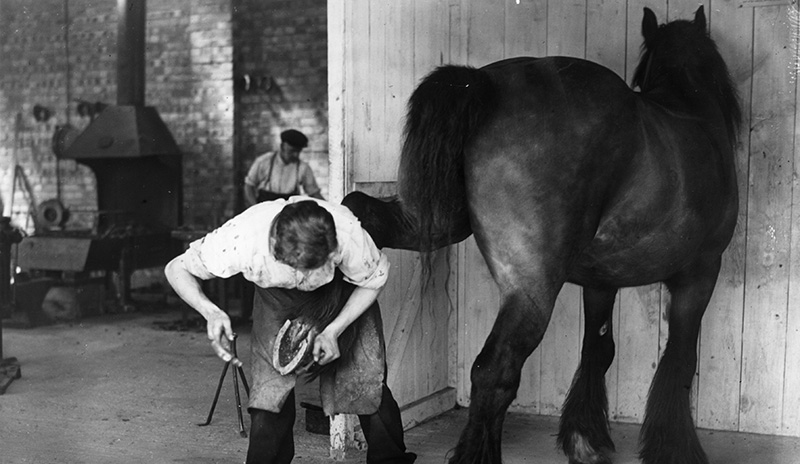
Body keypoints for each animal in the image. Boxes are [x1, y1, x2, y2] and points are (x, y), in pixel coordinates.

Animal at [340, 6, 740, 464]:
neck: (692, 112)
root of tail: (485, 84)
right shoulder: (701, 274)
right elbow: (680, 359)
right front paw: (674, 447)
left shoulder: (601, 283)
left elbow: (599, 350)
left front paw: (586, 438)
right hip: (532, 288)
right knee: (494, 370)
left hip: (432, 222)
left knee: (363, 210)